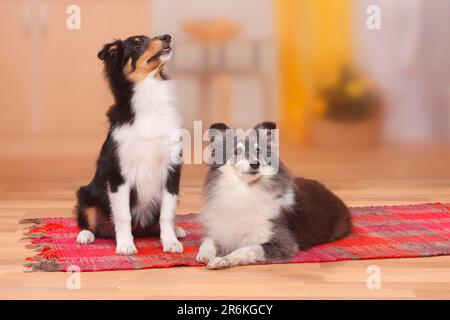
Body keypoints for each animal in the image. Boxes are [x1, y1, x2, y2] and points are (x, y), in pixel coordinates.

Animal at [75, 34, 185, 255]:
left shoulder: (172, 169)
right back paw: (85, 235)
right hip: (86, 194)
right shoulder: (118, 174)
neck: (150, 98)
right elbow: (123, 215)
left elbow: (167, 213)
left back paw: (176, 231)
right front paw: (126, 245)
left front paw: (170, 242)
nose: (167, 36)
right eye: (136, 44)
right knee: (90, 221)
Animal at [196, 121, 352, 268]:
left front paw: (222, 260)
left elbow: (246, 249)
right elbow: (208, 240)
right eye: (236, 151)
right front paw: (205, 254)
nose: (255, 164)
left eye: (258, 150)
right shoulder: (221, 230)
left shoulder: (283, 243)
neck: (246, 189)